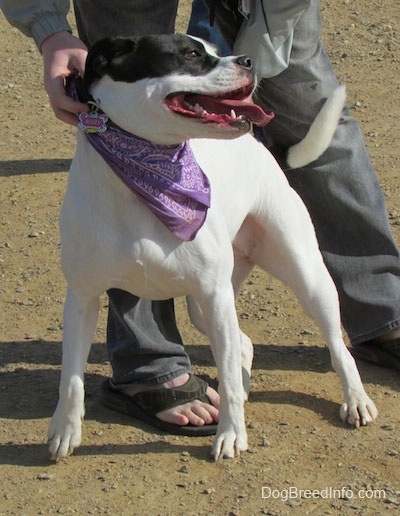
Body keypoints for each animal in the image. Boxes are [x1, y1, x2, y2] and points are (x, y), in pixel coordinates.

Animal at [47, 33, 378, 460]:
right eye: (190, 54)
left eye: (214, 50)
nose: (249, 60)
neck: (145, 179)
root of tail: (259, 147)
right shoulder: (82, 298)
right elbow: (70, 379)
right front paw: (64, 430)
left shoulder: (215, 294)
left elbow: (229, 376)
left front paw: (231, 434)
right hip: (203, 307)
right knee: (244, 345)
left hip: (304, 279)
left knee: (338, 347)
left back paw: (356, 400)